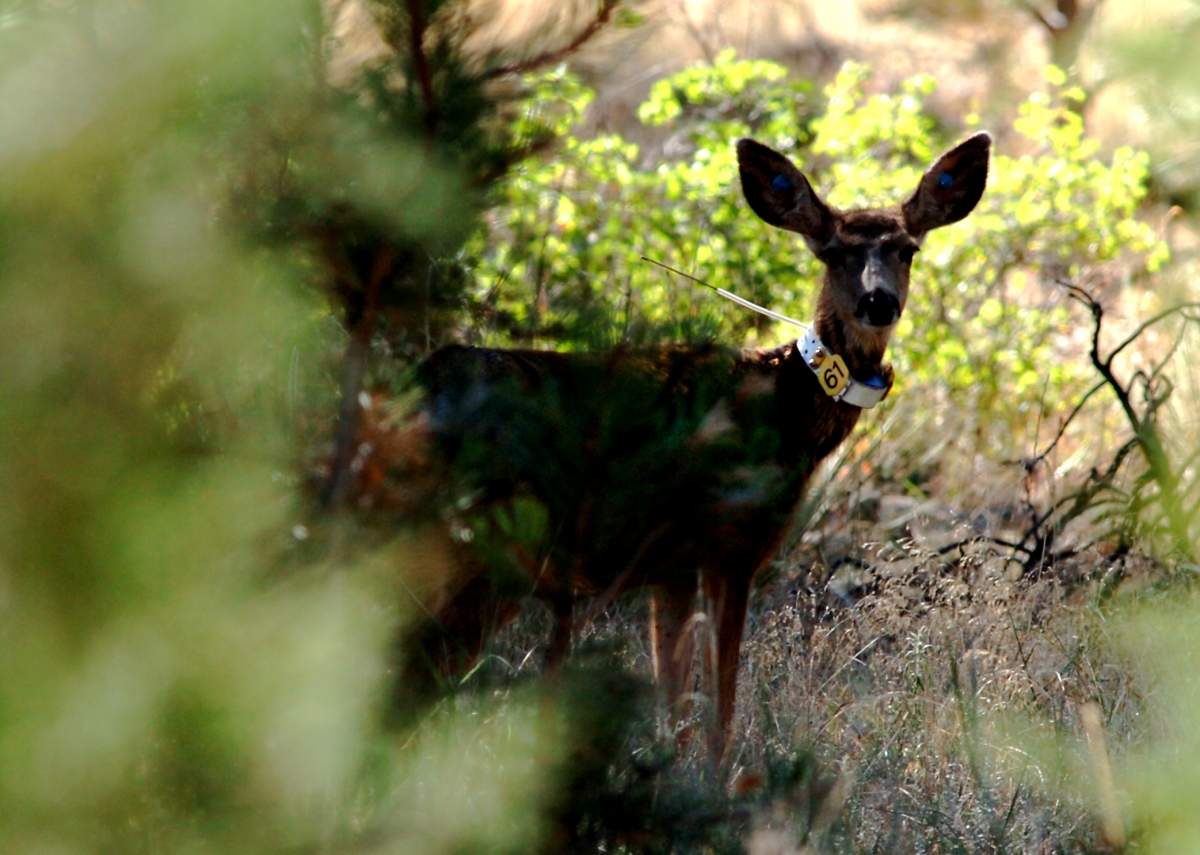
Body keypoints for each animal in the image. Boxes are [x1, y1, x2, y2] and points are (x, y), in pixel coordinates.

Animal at [362, 131, 991, 761]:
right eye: (833, 253)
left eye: (907, 250)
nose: (878, 303)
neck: (783, 409)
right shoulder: (730, 544)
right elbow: (719, 710)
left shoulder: (672, 567)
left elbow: (676, 705)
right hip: (477, 549)